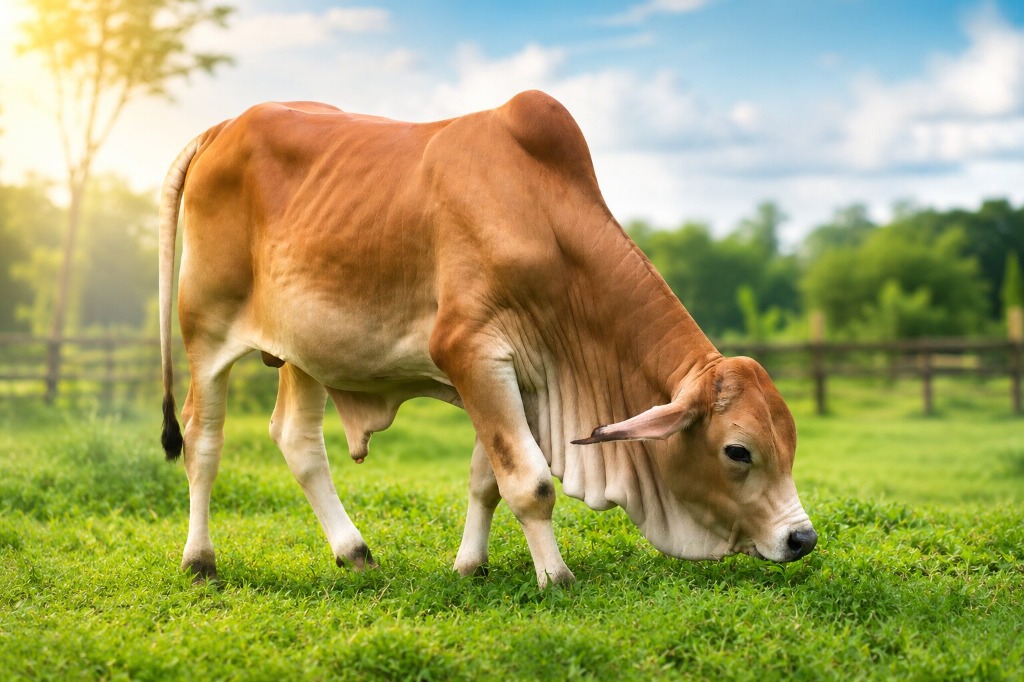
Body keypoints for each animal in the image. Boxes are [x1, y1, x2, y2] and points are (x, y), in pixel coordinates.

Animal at [159, 90, 817, 587]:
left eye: (789, 441)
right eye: (738, 451)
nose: (802, 537)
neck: (548, 228)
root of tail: (225, 126)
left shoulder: (514, 374)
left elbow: (487, 479)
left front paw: (470, 565)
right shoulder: (469, 351)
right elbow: (530, 483)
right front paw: (556, 578)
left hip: (306, 353)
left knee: (296, 439)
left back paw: (354, 551)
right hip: (205, 328)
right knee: (202, 438)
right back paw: (200, 559)